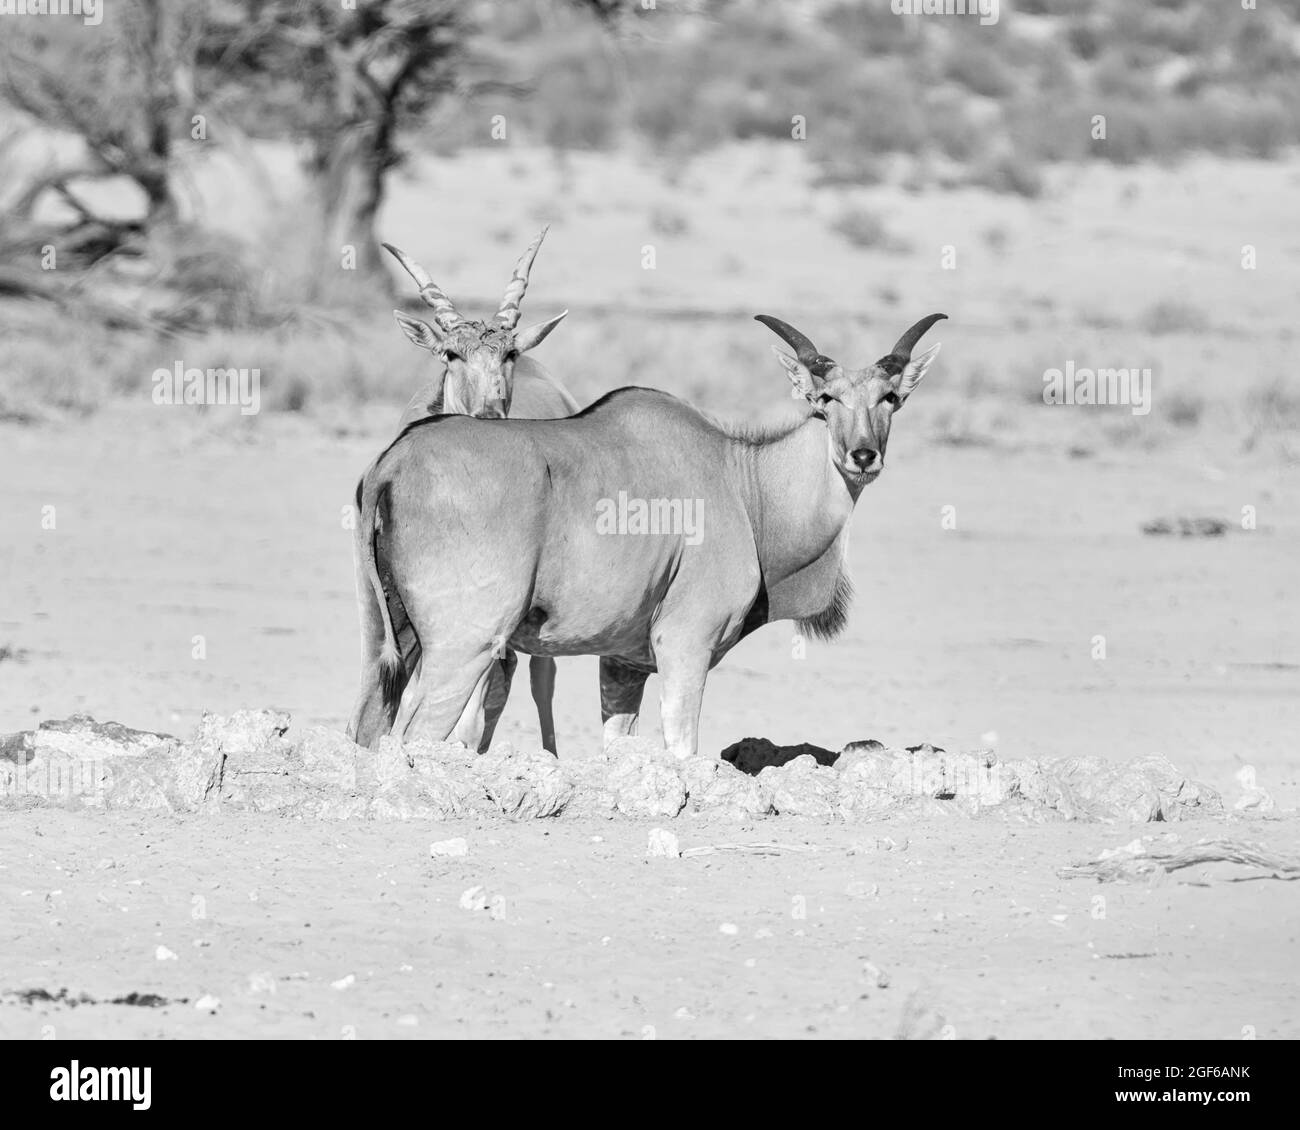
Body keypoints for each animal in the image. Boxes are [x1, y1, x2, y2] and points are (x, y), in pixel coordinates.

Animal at [356, 310, 946, 759]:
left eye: (890, 397)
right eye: (826, 400)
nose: (862, 456)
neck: (742, 479)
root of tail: (394, 463)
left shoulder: (623, 664)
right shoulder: (684, 644)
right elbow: (682, 749)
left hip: (394, 643)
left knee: (369, 725)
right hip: (466, 647)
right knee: (415, 735)